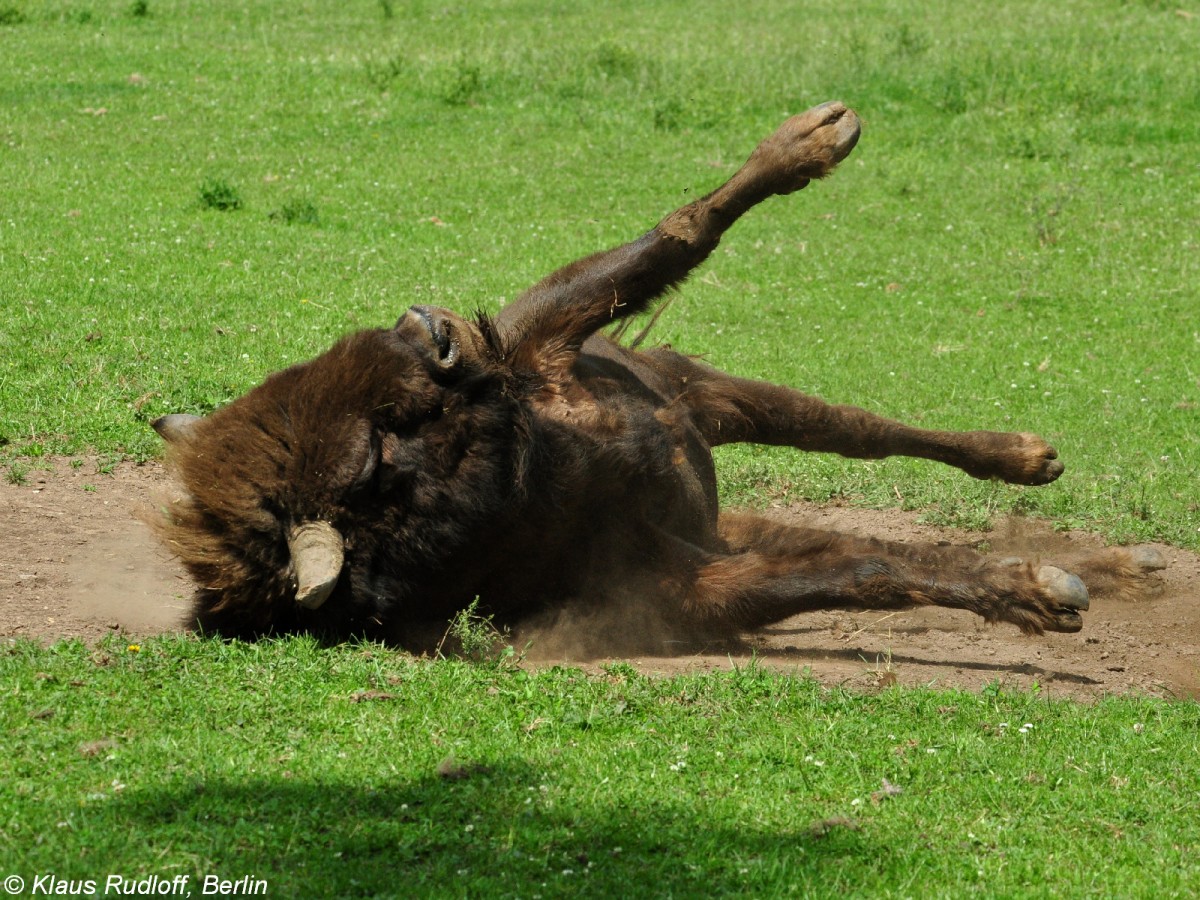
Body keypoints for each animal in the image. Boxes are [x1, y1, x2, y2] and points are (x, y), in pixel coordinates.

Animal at [147, 103, 1161, 657]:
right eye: (373, 461)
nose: (430, 330)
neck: (550, 472)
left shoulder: (559, 338)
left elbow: (677, 235)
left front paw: (812, 140)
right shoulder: (676, 583)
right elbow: (859, 569)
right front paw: (1037, 597)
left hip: (697, 394)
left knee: (848, 427)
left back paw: (1055, 486)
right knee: (848, 512)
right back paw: (1082, 567)